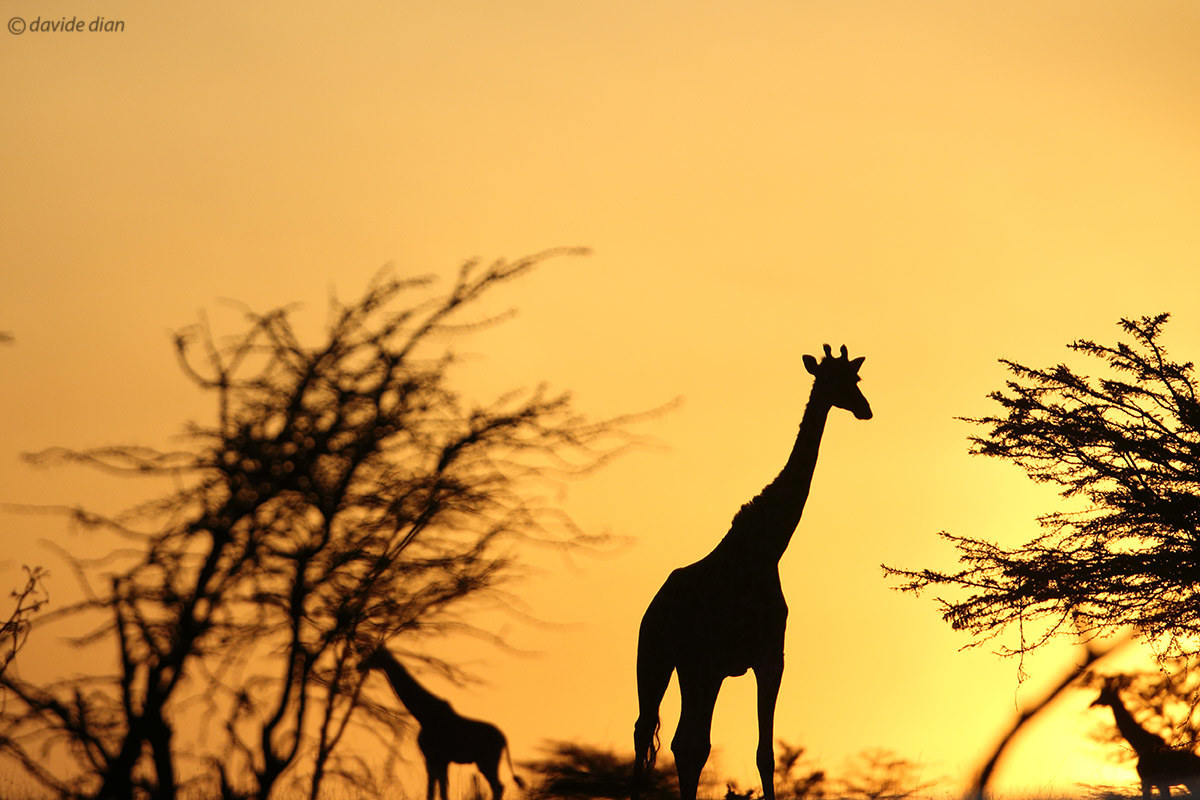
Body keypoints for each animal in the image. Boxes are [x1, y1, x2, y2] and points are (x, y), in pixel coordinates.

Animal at [357, 643, 524, 800]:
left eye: (373, 654)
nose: (359, 665)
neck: (424, 716)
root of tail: (504, 739)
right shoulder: (440, 760)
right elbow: (440, 791)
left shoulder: (433, 757)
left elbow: (434, 791)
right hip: (487, 762)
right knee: (498, 786)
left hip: (487, 761)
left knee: (498, 786)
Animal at [632, 344, 872, 800]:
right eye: (834, 380)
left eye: (856, 378)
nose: (865, 409)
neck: (765, 549)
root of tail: (652, 609)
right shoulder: (740, 659)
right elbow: (732, 749)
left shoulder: (758, 659)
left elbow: (760, 752)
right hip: (664, 659)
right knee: (657, 734)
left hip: (684, 665)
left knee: (675, 739)